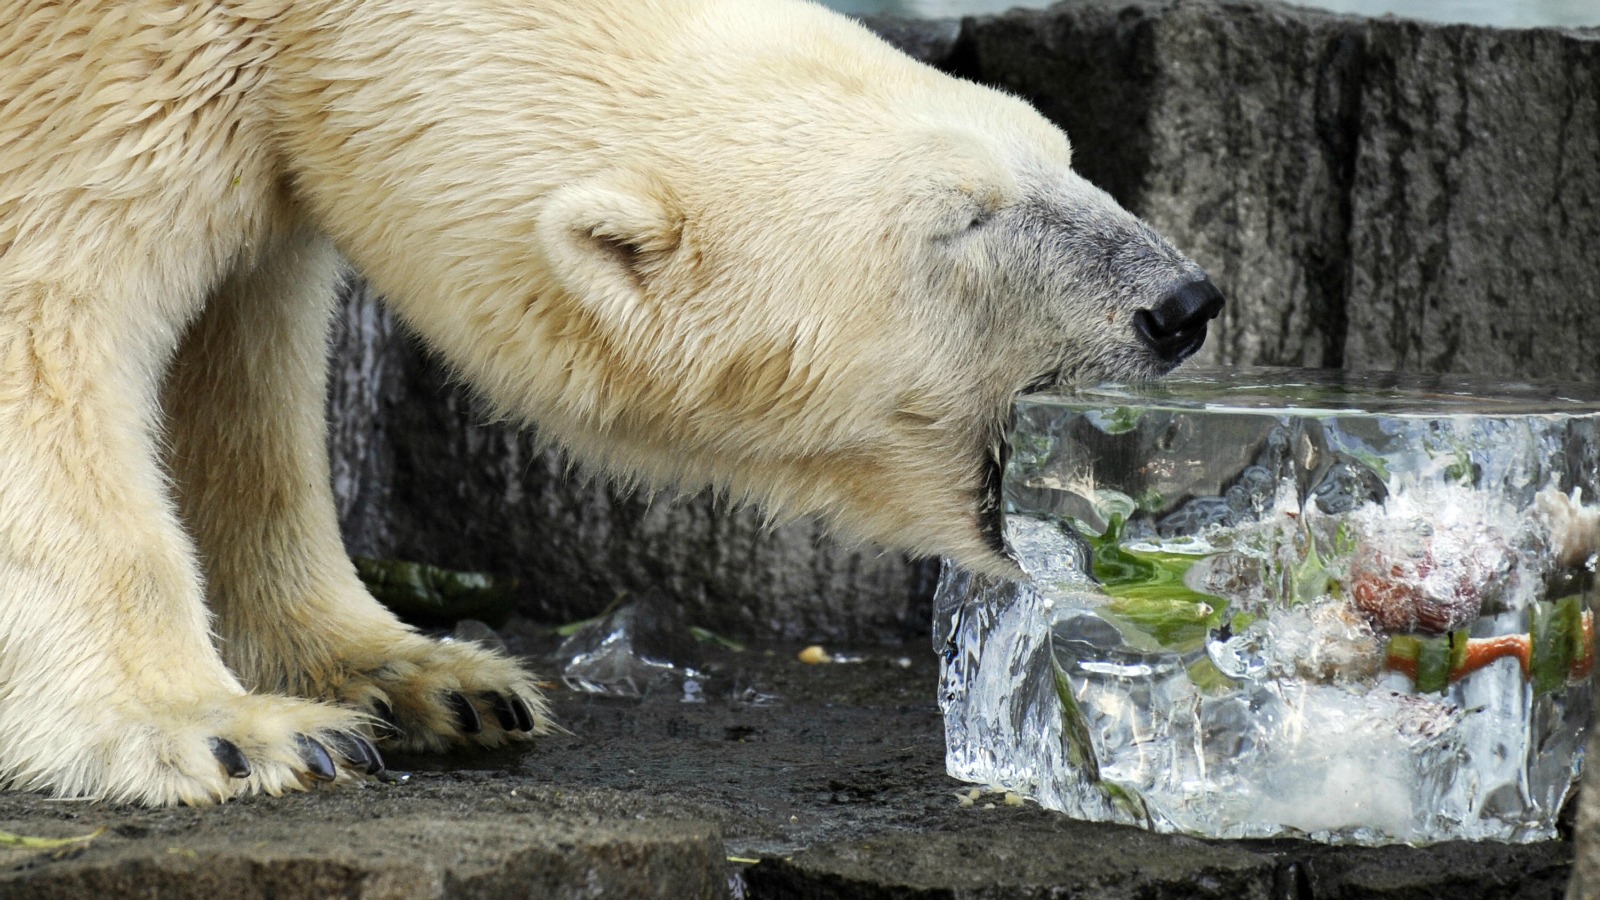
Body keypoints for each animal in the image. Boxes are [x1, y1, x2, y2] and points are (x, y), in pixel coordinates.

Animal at [0, 0, 1216, 800]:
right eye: (961, 219)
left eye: (1059, 149)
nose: (1182, 304)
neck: (287, 17)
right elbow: (44, 324)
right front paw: (223, 732)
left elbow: (241, 369)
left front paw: (424, 678)